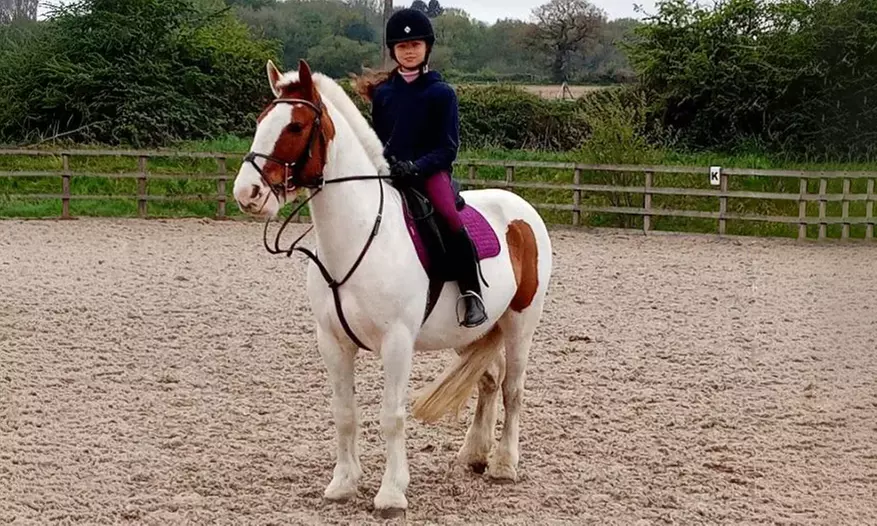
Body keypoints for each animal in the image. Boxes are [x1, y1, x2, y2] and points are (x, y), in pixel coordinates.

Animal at [231, 58, 553, 516]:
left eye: (294, 126)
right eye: (261, 121)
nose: (248, 193)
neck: (359, 235)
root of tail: (522, 209)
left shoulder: (397, 342)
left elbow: (391, 416)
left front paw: (391, 493)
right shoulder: (332, 342)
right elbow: (344, 412)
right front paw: (343, 483)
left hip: (520, 323)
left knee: (513, 388)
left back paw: (504, 464)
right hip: (470, 332)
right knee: (489, 382)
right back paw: (474, 455)